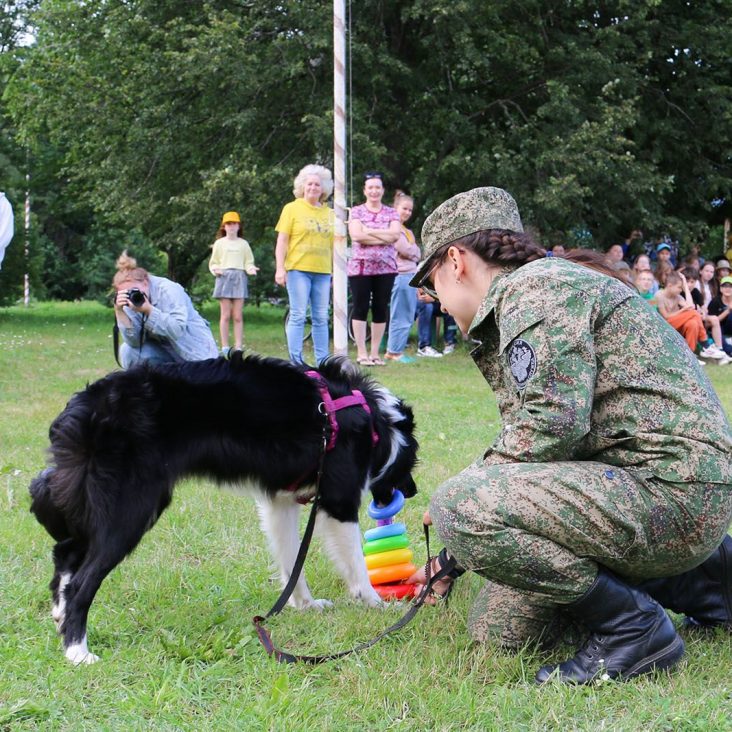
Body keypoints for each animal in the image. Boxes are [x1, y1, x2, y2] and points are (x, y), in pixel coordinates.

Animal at [30, 354, 418, 664]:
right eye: (411, 465)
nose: (413, 492)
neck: (376, 421)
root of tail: (85, 404)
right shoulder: (339, 500)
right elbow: (355, 561)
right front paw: (375, 603)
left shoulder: (280, 501)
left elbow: (292, 561)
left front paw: (305, 605)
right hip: (131, 509)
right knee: (82, 581)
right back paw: (77, 651)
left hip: (102, 506)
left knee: (65, 554)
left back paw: (60, 616)